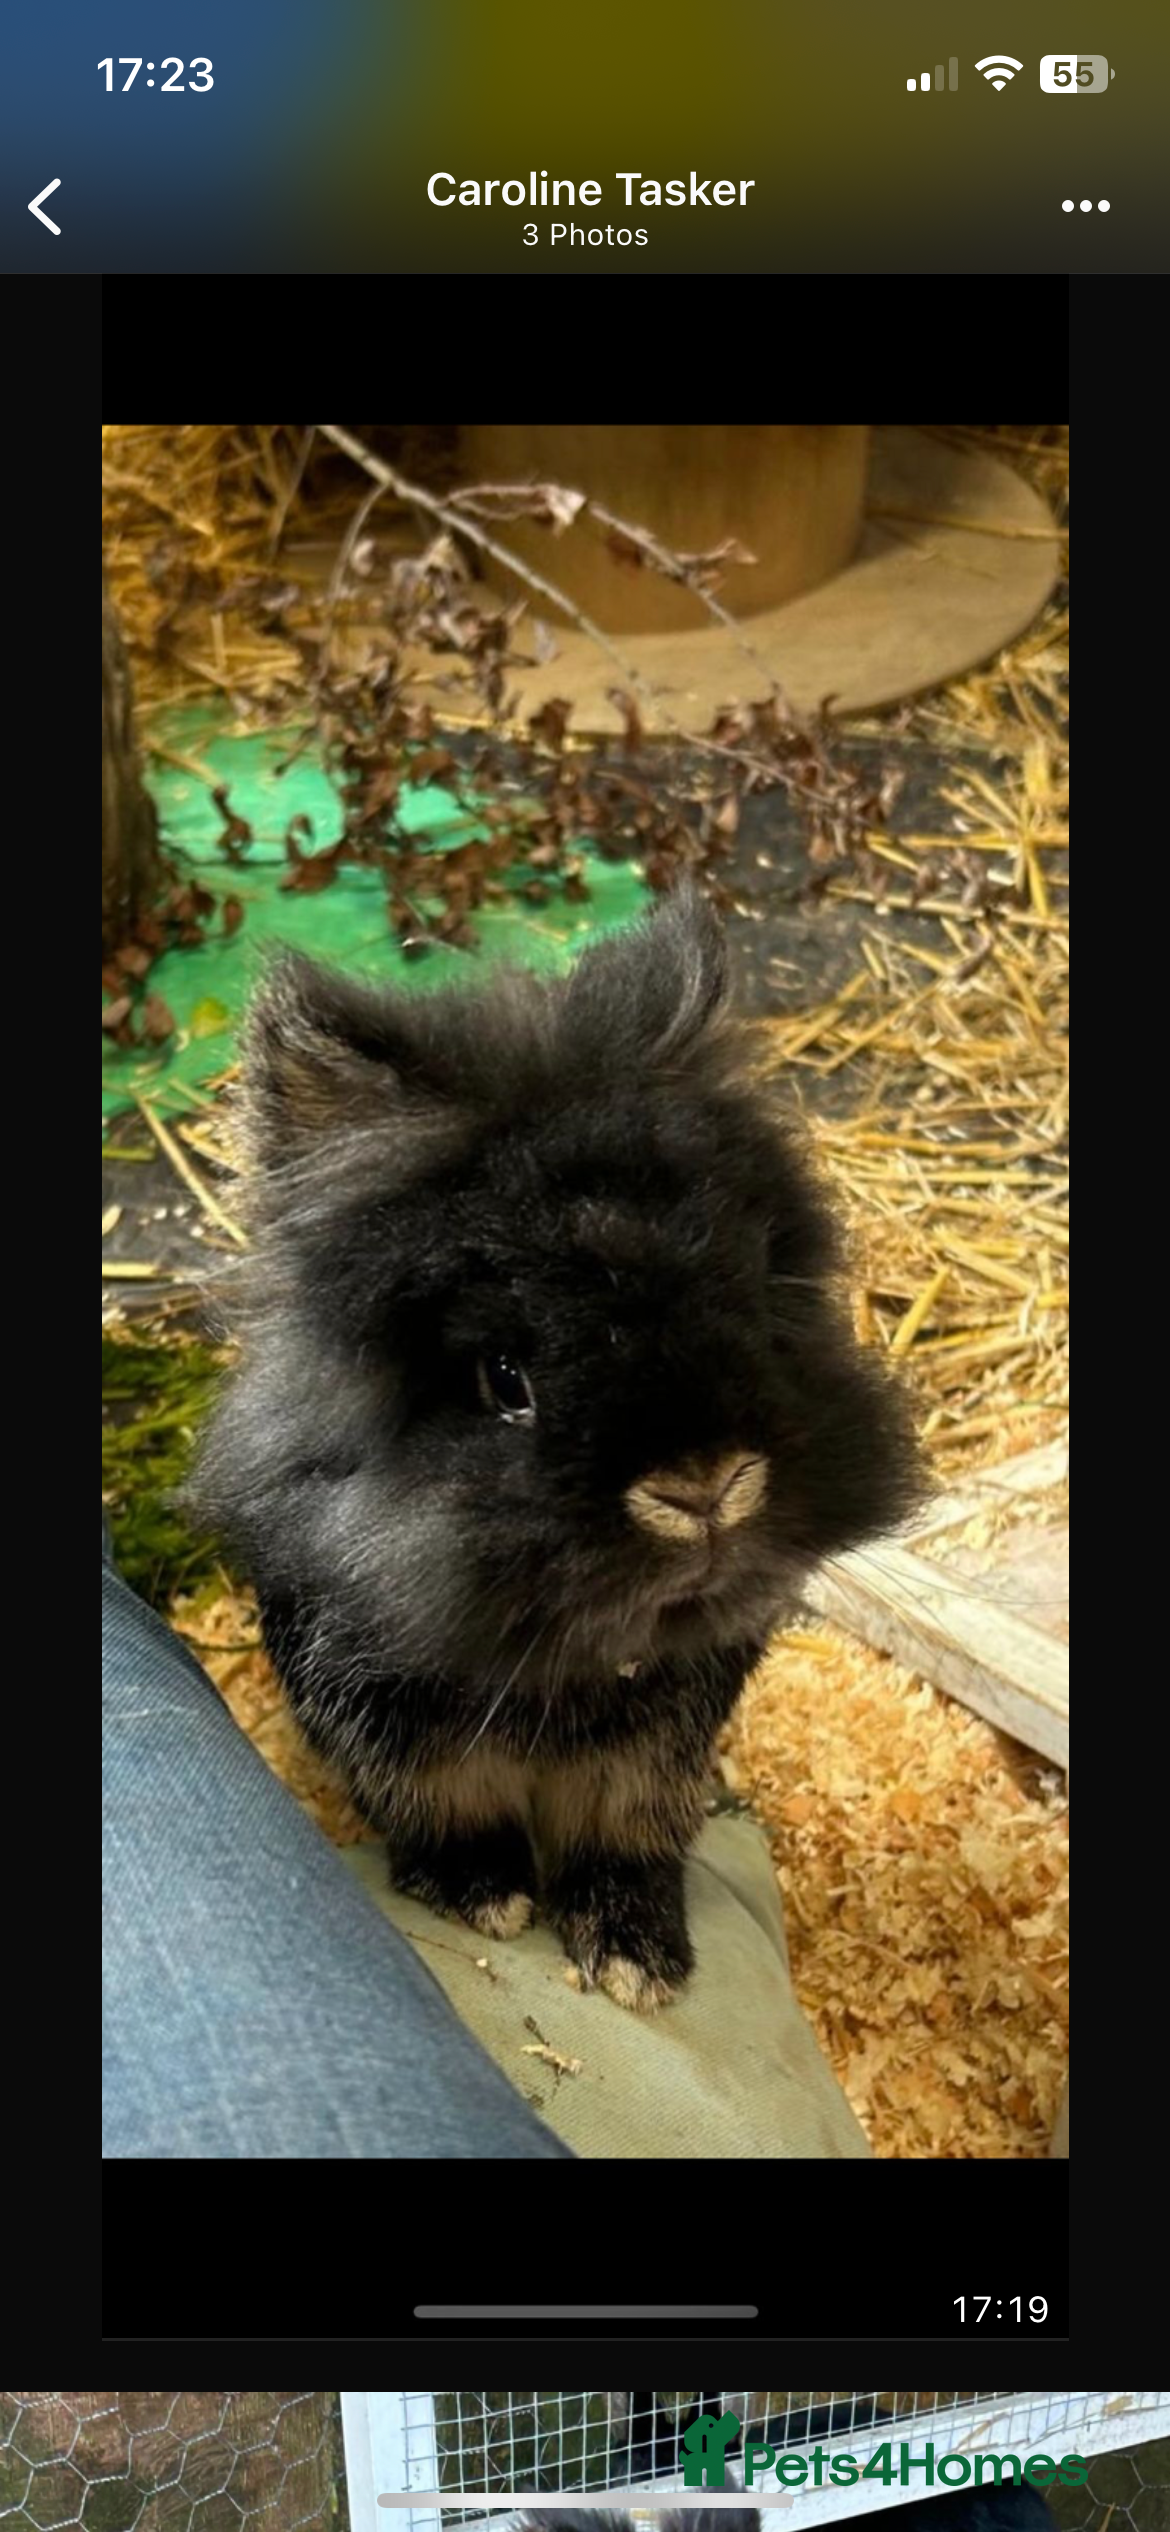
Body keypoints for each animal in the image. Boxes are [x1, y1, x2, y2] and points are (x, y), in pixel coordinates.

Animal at [189, 882, 922, 2011]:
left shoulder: (653, 1757)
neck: (564, 1657)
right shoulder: (392, 1733)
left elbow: (624, 1835)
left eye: (756, 1302)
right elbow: (447, 1813)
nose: (704, 1490)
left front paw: (636, 1958)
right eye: (505, 1378)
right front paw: (482, 1896)